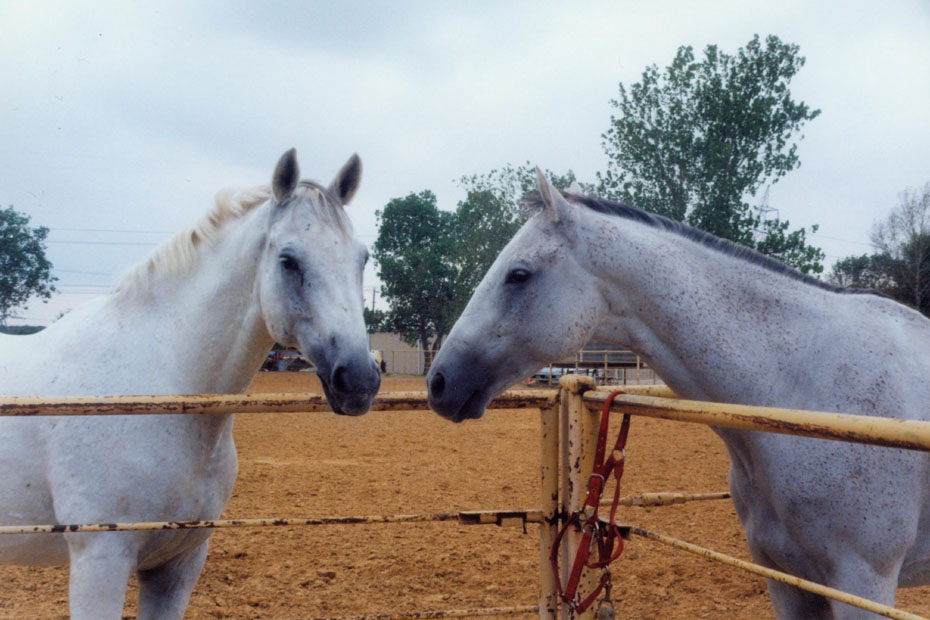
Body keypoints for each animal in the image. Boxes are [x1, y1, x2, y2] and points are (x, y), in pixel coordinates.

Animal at [0, 149, 381, 619]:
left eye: (362, 258)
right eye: (288, 260)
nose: (359, 379)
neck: (155, 394)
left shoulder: (177, 565)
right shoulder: (99, 562)